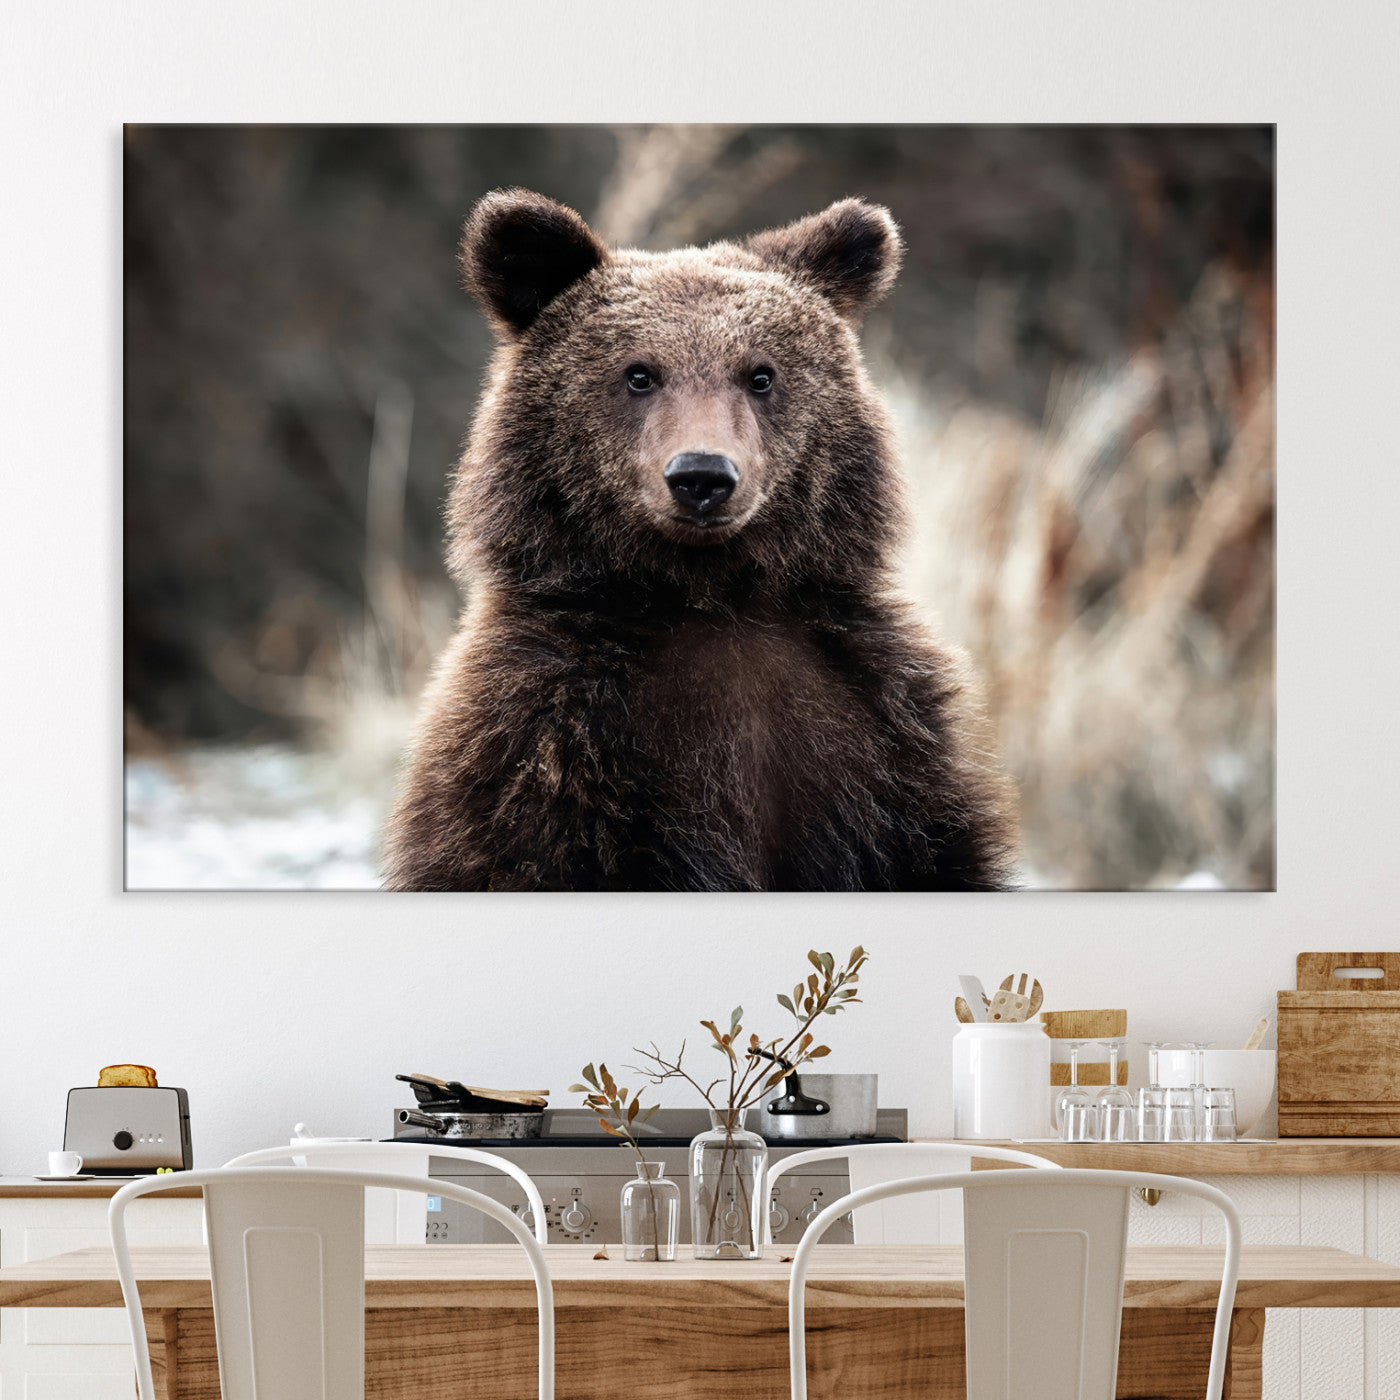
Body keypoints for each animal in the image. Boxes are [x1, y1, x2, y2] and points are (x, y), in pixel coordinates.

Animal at [382, 189, 1018, 891]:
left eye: (761, 375)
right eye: (638, 373)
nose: (702, 476)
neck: (710, 596)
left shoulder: (881, 738)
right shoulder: (546, 747)